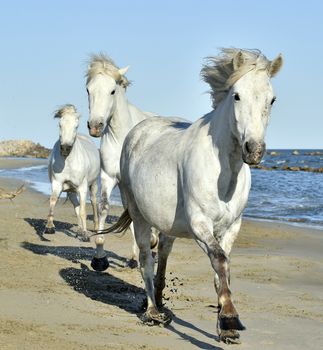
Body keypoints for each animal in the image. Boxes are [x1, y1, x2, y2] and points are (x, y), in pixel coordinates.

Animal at [44, 104, 100, 241]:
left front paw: (85, 234)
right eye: (60, 125)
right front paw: (49, 227)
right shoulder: (57, 184)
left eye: (76, 126)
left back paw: (95, 228)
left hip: (93, 185)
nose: (65, 149)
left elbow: (83, 211)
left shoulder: (82, 187)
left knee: (94, 202)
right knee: (76, 206)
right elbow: (53, 201)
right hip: (71, 192)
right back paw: (79, 230)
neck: (68, 162)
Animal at [85, 53, 158, 270]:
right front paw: (99, 259)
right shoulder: (109, 177)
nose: (95, 126)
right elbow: (104, 207)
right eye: (88, 90)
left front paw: (152, 242)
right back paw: (134, 257)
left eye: (112, 90)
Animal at [100, 47, 284, 344]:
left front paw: (225, 324)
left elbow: (224, 268)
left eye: (272, 98)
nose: (254, 150)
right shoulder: (200, 224)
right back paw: (152, 311)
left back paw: (161, 302)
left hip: (168, 224)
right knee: (145, 258)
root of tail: (136, 132)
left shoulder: (232, 226)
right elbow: (219, 261)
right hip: (139, 215)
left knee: (163, 251)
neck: (224, 172)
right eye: (237, 95)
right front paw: (230, 318)